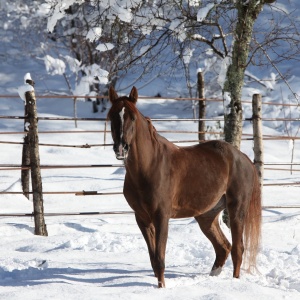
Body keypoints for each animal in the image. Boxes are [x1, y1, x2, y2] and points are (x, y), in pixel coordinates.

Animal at [107, 86, 260, 288]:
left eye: (132, 117)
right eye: (111, 116)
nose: (121, 148)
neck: (149, 166)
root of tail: (243, 158)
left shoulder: (161, 217)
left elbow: (160, 258)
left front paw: (162, 288)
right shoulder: (142, 219)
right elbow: (153, 259)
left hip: (237, 210)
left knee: (237, 249)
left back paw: (235, 283)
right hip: (206, 216)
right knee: (223, 247)